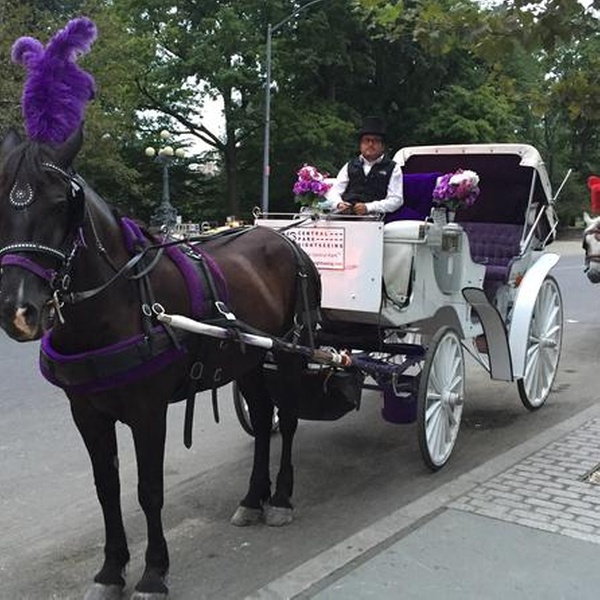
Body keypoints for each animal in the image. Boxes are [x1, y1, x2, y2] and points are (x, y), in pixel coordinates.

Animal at [0, 124, 322, 596]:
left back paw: (280, 497)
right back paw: (252, 497)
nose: (18, 311)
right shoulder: (86, 413)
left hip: (289, 353)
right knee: (264, 420)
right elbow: (106, 488)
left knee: (291, 418)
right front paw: (111, 569)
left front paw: (153, 572)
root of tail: (281, 237)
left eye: (61, 203)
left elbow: (149, 490)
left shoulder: (148, 412)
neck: (118, 301)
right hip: (247, 358)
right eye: (0, 201)